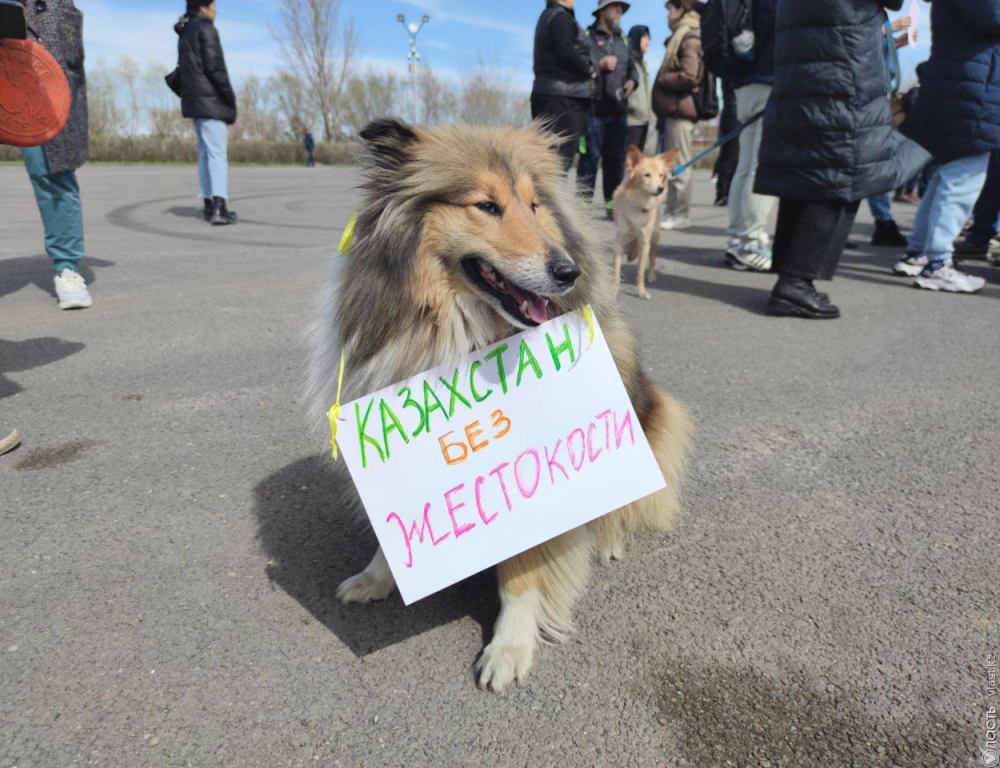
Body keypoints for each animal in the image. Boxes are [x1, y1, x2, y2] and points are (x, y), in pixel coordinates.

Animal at [608, 146, 680, 302]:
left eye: (660, 175)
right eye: (646, 175)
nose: (660, 189)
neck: (639, 203)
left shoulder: (645, 242)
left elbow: (640, 271)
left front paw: (641, 292)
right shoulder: (619, 241)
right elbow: (616, 270)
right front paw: (614, 290)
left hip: (655, 236)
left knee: (652, 258)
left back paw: (651, 276)